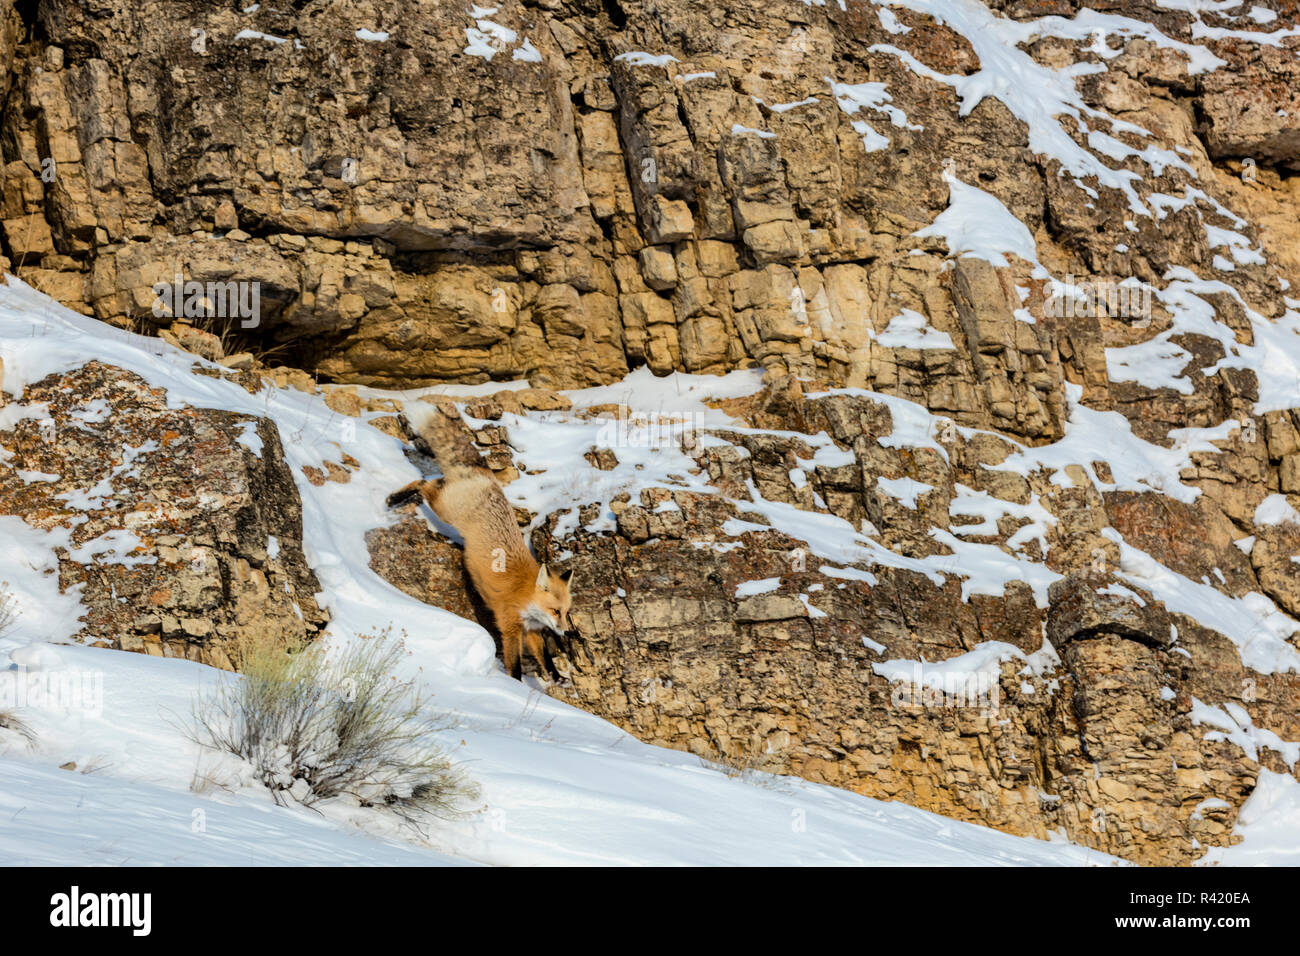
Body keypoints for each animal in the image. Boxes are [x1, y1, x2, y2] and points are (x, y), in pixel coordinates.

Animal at [379, 400, 574, 686]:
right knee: (424, 484)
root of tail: (486, 476)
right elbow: (515, 667)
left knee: (433, 481)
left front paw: (557, 677)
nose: (566, 632)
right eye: (556, 611)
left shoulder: (531, 630)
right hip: (445, 509)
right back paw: (395, 497)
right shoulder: (509, 626)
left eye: (566, 611)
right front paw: (514, 688)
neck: (526, 594)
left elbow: (544, 658)